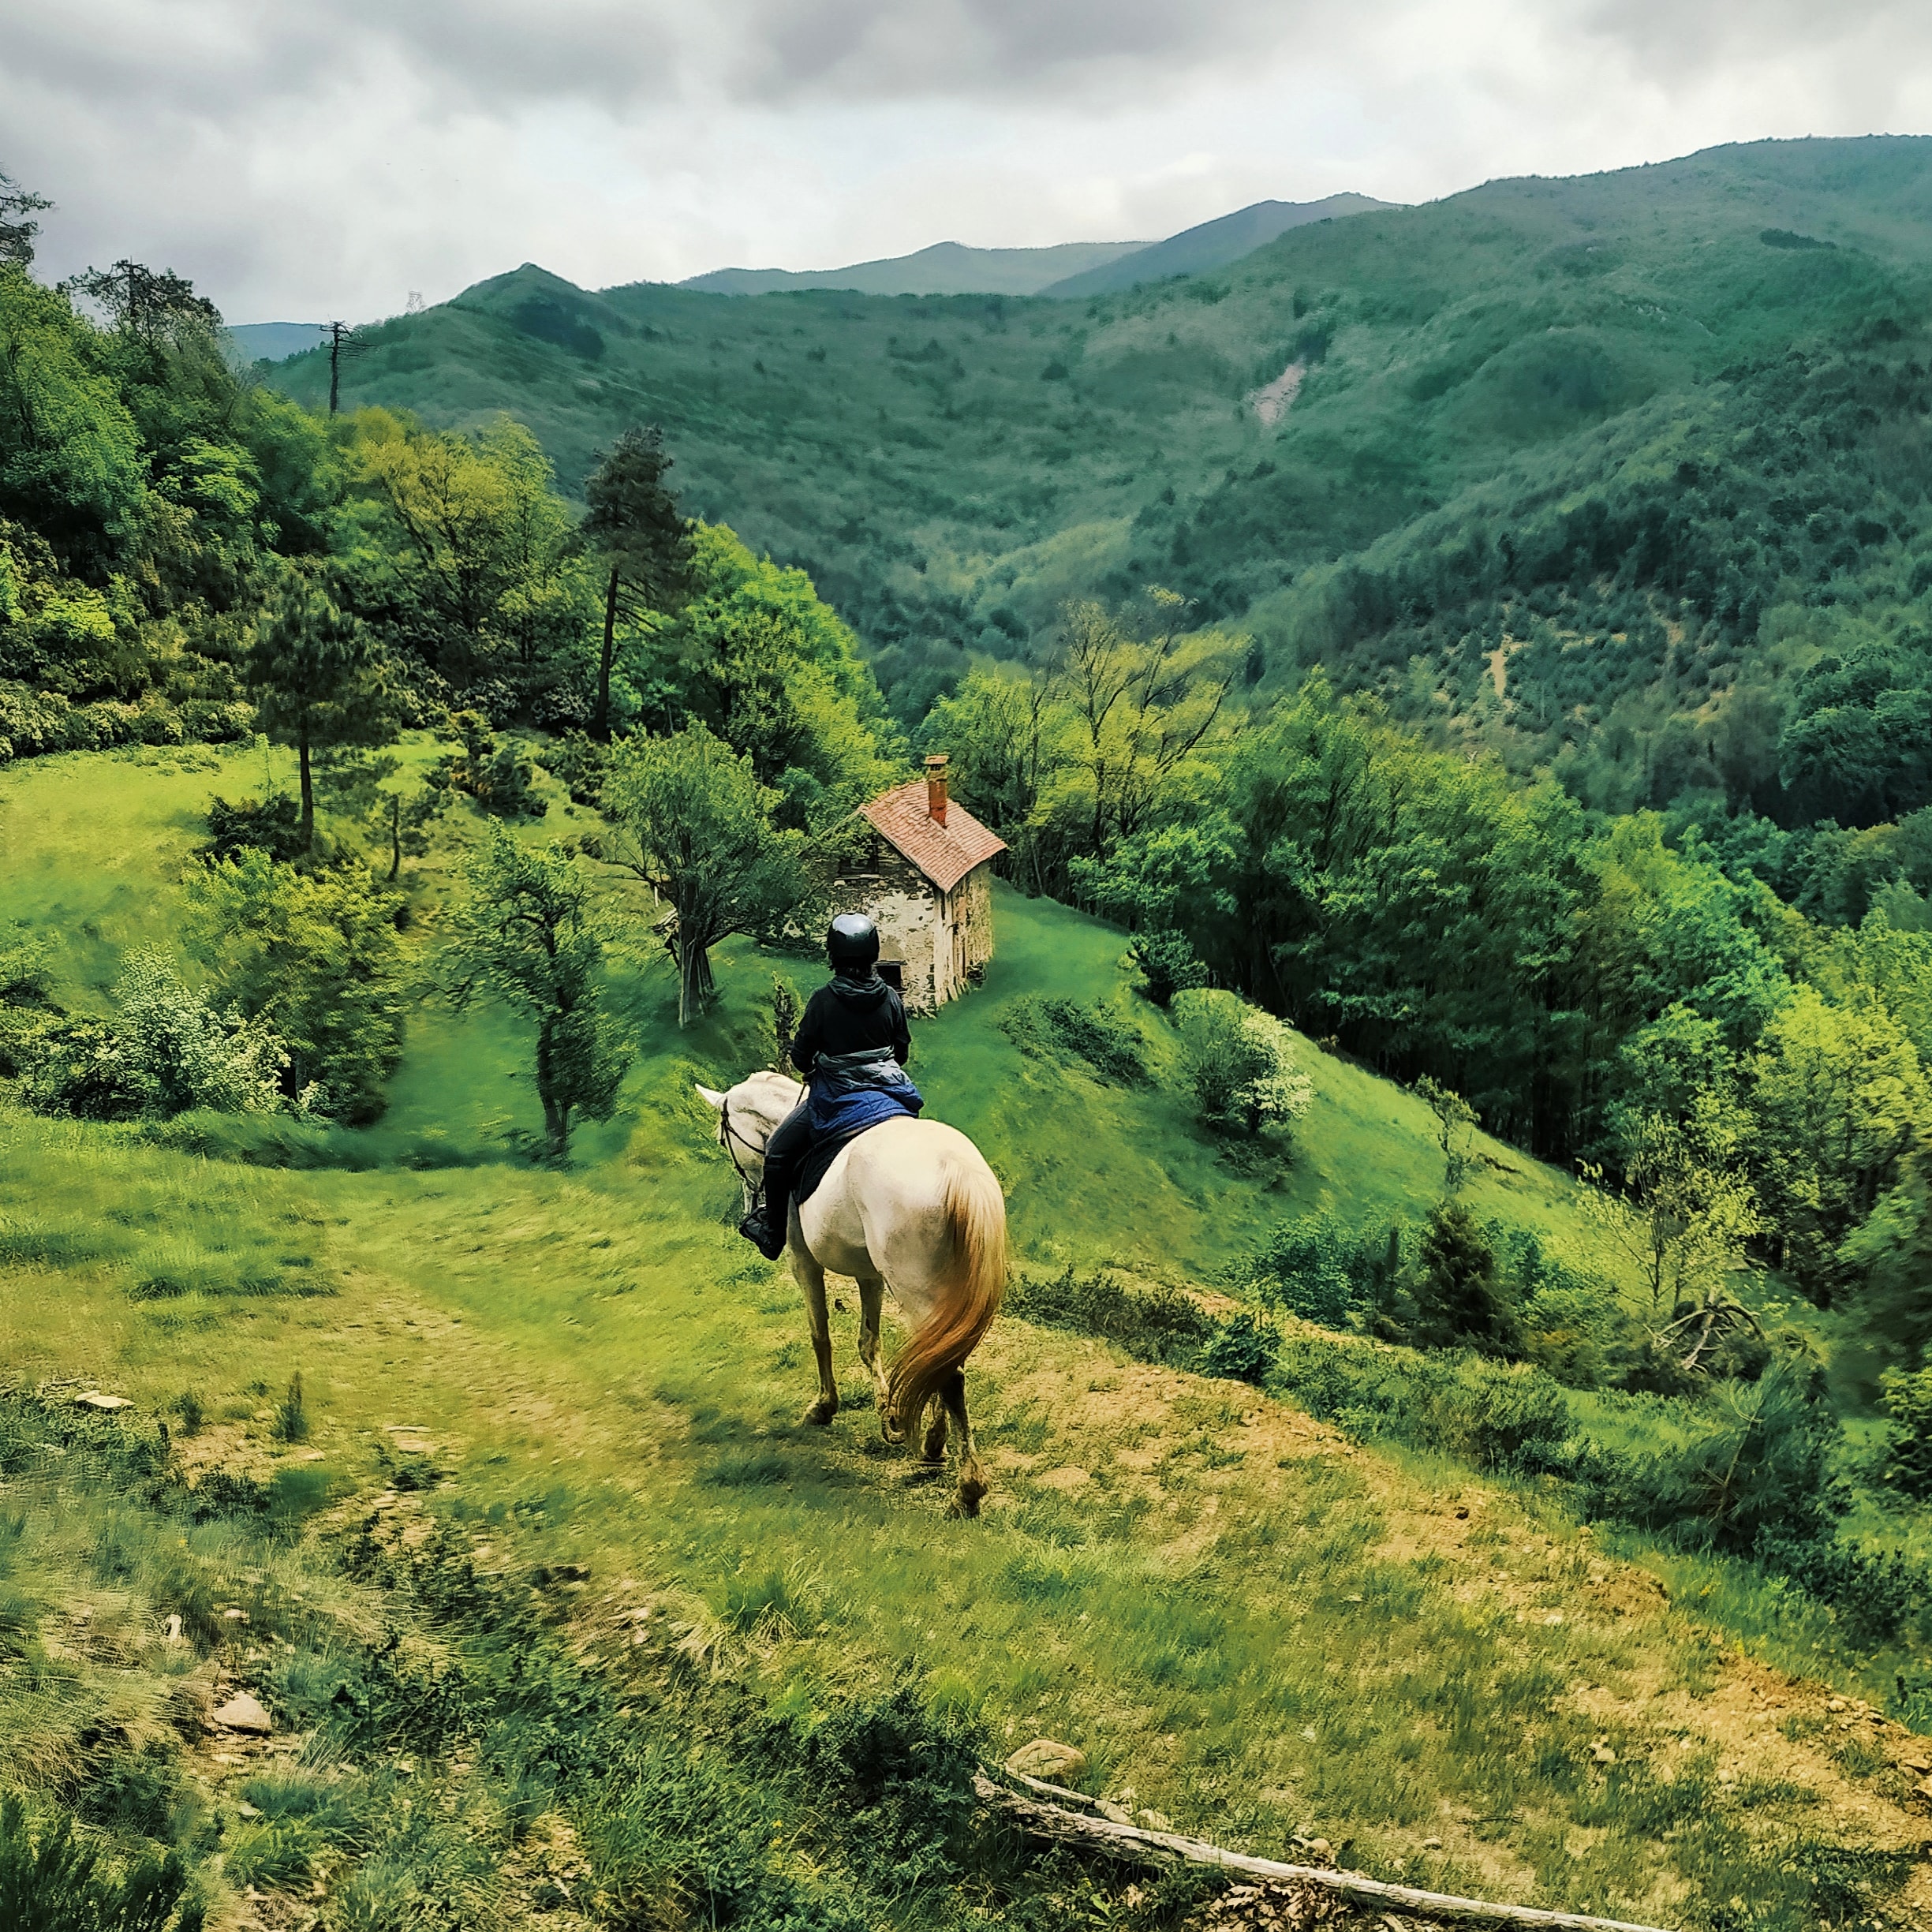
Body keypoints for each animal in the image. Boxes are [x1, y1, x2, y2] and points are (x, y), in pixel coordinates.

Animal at [695, 1082, 1004, 1515]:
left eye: (722, 1138)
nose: (748, 1203)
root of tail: (956, 1170)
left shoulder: (802, 1259)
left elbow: (819, 1331)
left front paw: (824, 1407)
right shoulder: (870, 1274)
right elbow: (869, 1342)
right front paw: (889, 1417)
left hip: (914, 1289)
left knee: (947, 1371)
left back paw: (967, 1489)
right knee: (943, 1358)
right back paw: (934, 1446)